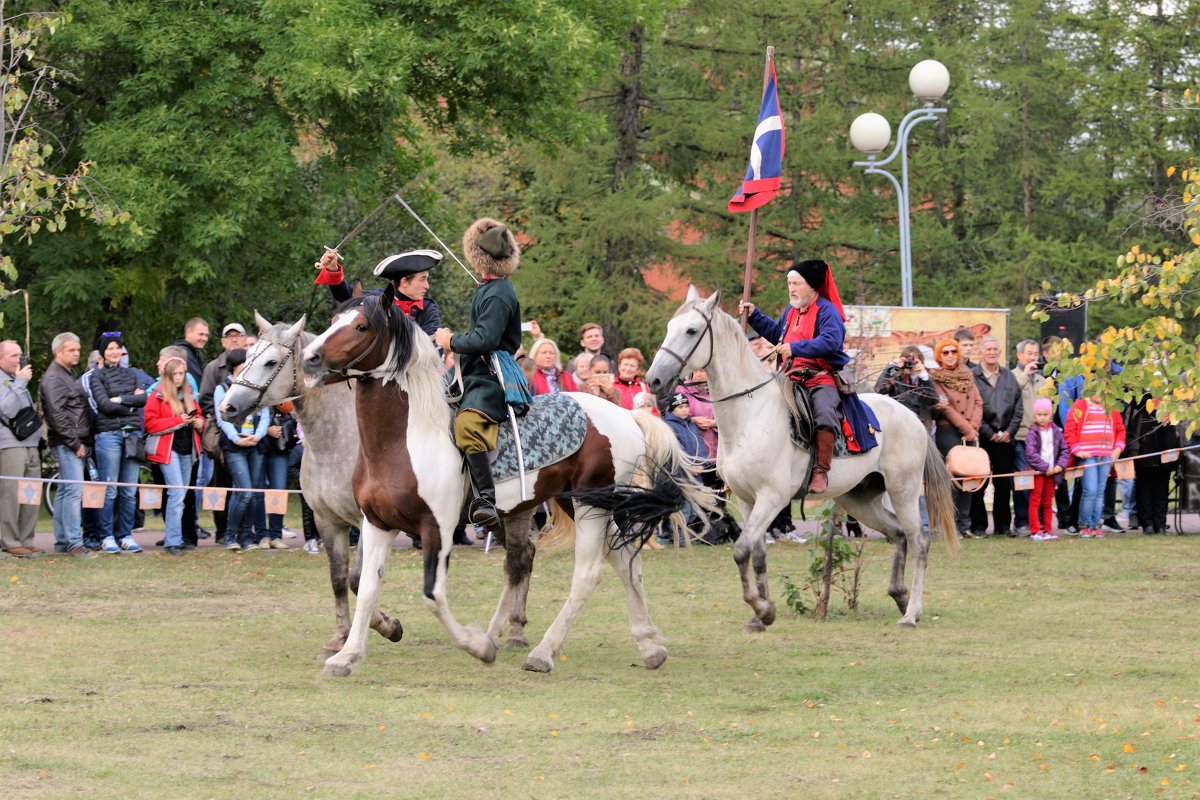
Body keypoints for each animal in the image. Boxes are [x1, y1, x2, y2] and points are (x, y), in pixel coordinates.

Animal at [302, 283, 710, 676]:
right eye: (333, 319)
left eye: (360, 326)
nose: (310, 357)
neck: (404, 439)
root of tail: (627, 416)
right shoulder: (377, 524)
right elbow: (367, 586)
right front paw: (349, 654)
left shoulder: (437, 529)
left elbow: (433, 595)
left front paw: (478, 647)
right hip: (576, 502)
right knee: (623, 562)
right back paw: (649, 647)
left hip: (590, 505)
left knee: (587, 574)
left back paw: (543, 653)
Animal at [648, 287, 955, 633]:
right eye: (669, 328)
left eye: (691, 330)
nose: (654, 379)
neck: (749, 414)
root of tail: (911, 416)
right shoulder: (746, 500)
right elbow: (757, 555)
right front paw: (760, 616)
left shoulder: (772, 497)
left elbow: (741, 551)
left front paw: (762, 608)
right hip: (858, 499)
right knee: (898, 534)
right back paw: (899, 595)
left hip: (904, 490)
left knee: (919, 542)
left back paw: (911, 613)